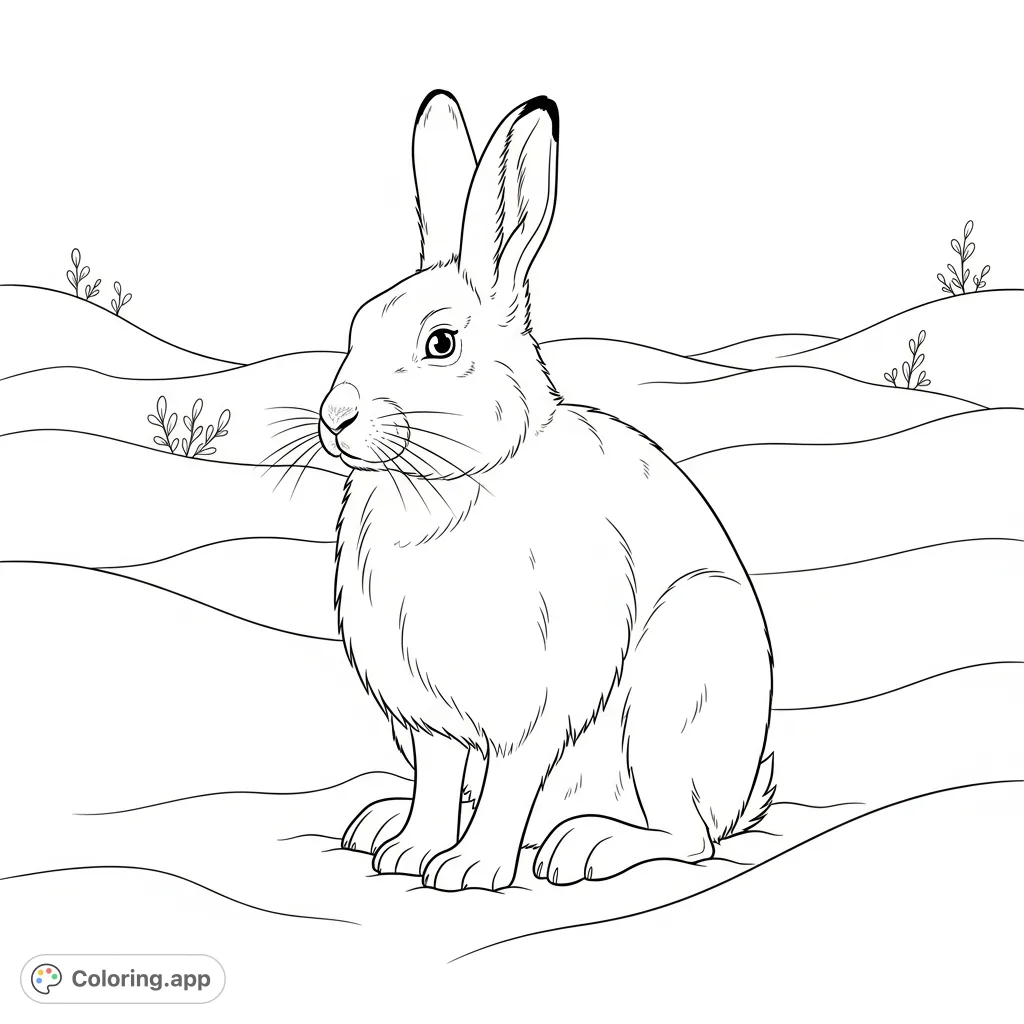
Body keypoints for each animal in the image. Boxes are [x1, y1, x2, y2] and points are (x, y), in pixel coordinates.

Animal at [320, 90, 774, 891]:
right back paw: (378, 823)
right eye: (358, 325)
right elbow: (437, 780)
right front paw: (409, 852)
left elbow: (510, 780)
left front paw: (467, 870)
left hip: (674, 693)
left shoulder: (535, 702)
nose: (334, 416)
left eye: (441, 343)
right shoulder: (427, 718)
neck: (449, 485)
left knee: (689, 837)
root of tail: (742, 794)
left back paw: (585, 847)